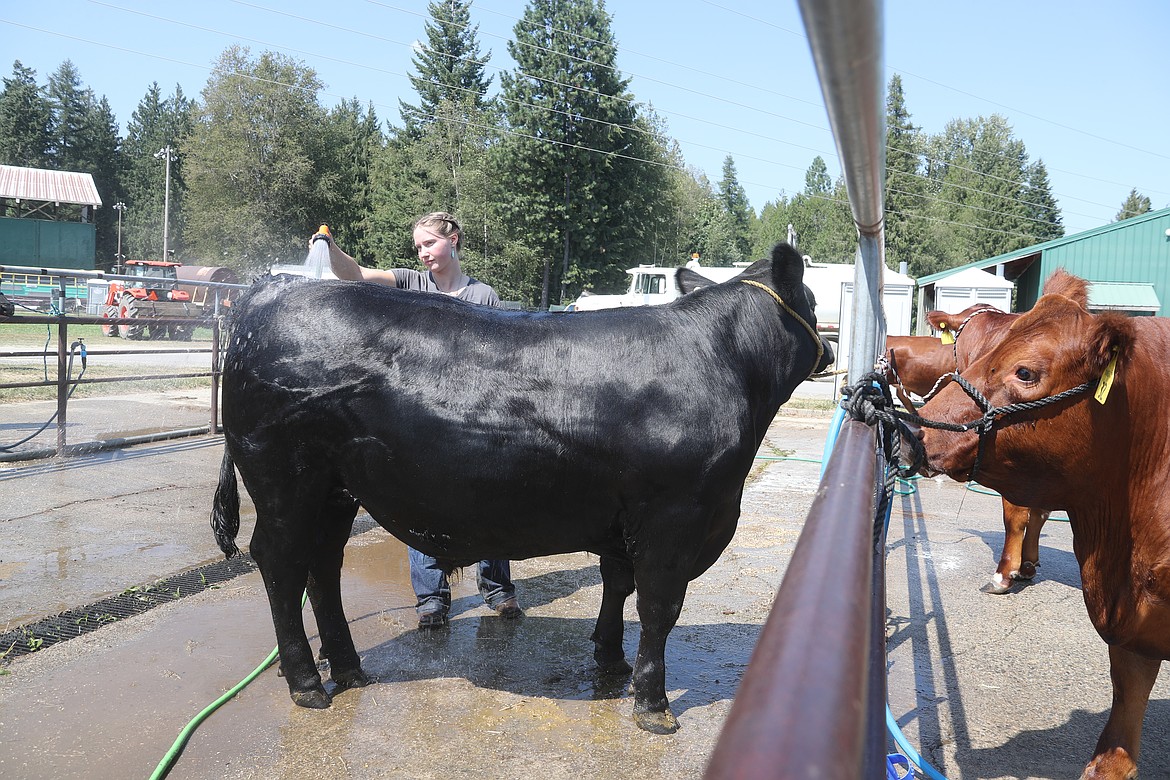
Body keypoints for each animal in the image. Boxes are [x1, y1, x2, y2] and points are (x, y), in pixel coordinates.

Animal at [917, 270, 1165, 780]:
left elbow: (1018, 513)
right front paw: (1025, 567)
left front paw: (1004, 574)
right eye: (972, 352)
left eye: (1025, 372)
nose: (920, 427)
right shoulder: (1135, 627)